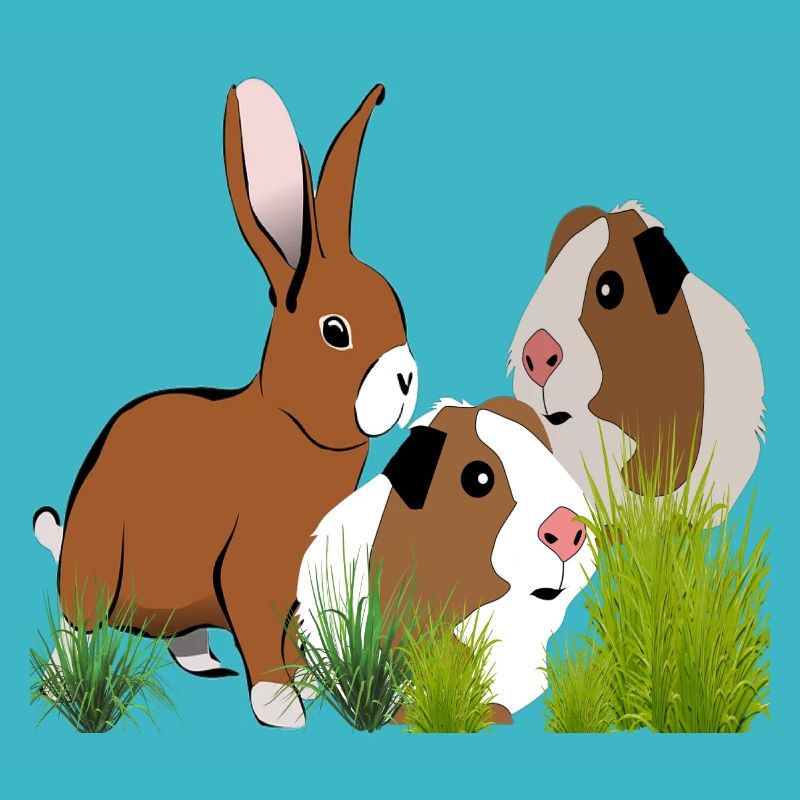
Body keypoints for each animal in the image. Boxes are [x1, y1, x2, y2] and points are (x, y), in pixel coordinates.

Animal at [33, 77, 417, 727]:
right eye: (335, 331)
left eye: (398, 310)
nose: (407, 377)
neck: (289, 424)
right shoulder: (251, 570)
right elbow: (263, 634)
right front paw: (282, 706)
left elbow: (288, 636)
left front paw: (307, 681)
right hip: (94, 561)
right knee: (77, 624)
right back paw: (63, 681)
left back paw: (205, 663)